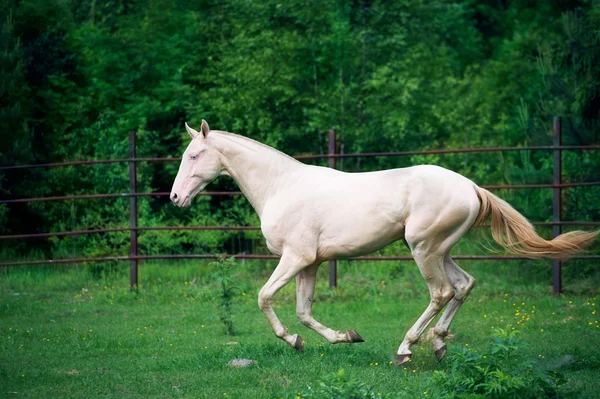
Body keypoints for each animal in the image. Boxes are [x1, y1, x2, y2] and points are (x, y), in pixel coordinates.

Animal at [171, 121, 596, 366]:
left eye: (193, 155)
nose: (176, 198)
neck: (281, 186)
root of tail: (471, 187)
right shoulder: (311, 263)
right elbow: (304, 312)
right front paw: (343, 337)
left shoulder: (295, 258)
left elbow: (265, 297)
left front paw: (293, 341)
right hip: (441, 250)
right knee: (464, 285)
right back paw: (439, 345)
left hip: (424, 249)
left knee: (441, 292)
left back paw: (407, 348)